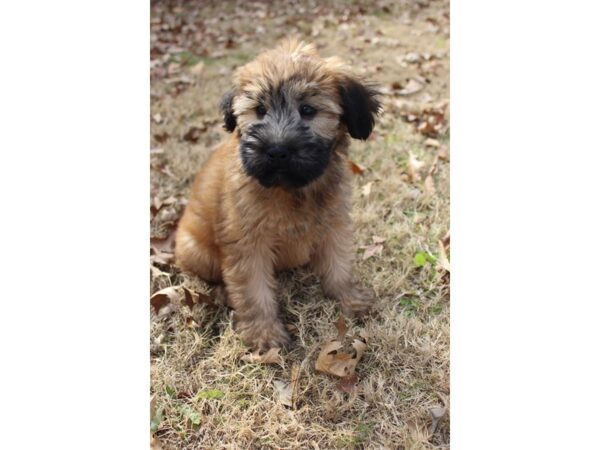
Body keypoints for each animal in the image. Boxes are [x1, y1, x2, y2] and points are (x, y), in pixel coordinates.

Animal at [173, 39, 380, 352]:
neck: (291, 190)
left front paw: (349, 298)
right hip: (196, 250)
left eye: (308, 109)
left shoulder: (333, 222)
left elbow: (338, 265)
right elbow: (253, 290)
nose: (277, 151)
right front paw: (264, 333)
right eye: (259, 109)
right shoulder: (247, 242)